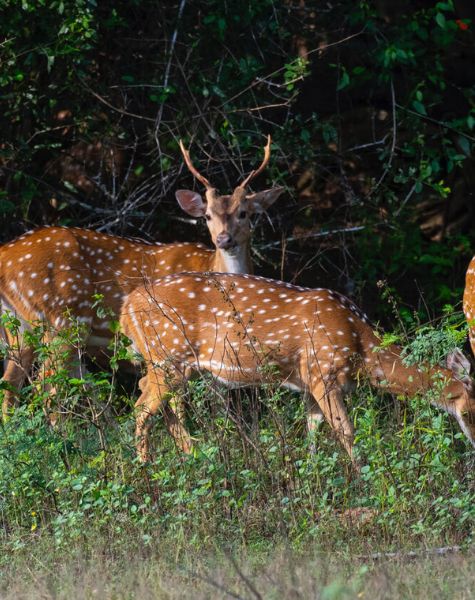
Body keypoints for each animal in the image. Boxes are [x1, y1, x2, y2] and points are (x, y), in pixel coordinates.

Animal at [0, 137, 284, 418]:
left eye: (244, 213)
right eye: (207, 216)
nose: (224, 239)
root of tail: (4, 256)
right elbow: (180, 402)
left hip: (20, 326)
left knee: (11, 384)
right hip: (63, 320)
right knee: (46, 386)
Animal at [120, 272, 475, 464]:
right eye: (472, 410)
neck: (360, 346)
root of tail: (126, 307)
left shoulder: (308, 384)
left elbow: (312, 432)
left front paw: (314, 477)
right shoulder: (323, 371)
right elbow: (347, 431)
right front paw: (363, 478)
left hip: (169, 363)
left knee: (149, 396)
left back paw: (192, 457)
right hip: (168, 355)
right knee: (142, 407)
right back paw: (146, 471)